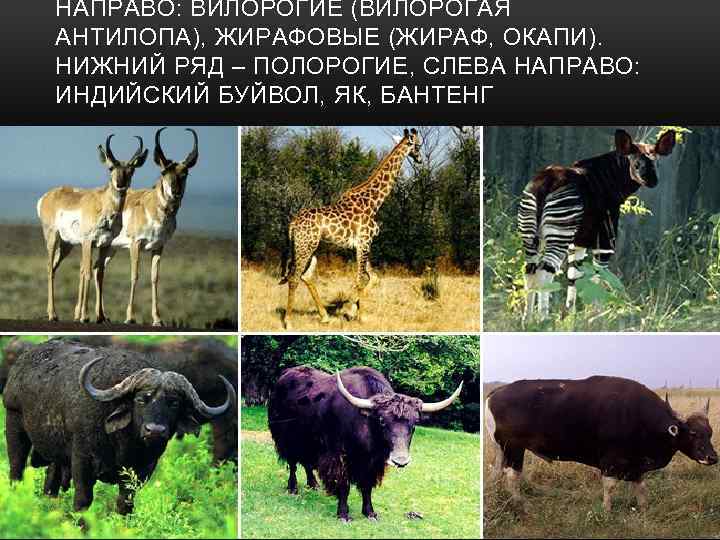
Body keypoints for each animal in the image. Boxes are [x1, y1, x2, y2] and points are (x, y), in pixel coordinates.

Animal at [279, 128, 423, 329]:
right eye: (418, 145)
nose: (420, 159)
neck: (374, 203)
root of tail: (293, 224)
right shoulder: (364, 242)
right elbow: (361, 279)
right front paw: (355, 312)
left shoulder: (362, 244)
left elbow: (373, 277)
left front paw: (354, 311)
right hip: (304, 247)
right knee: (294, 277)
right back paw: (289, 322)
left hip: (311, 247)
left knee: (306, 276)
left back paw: (325, 316)